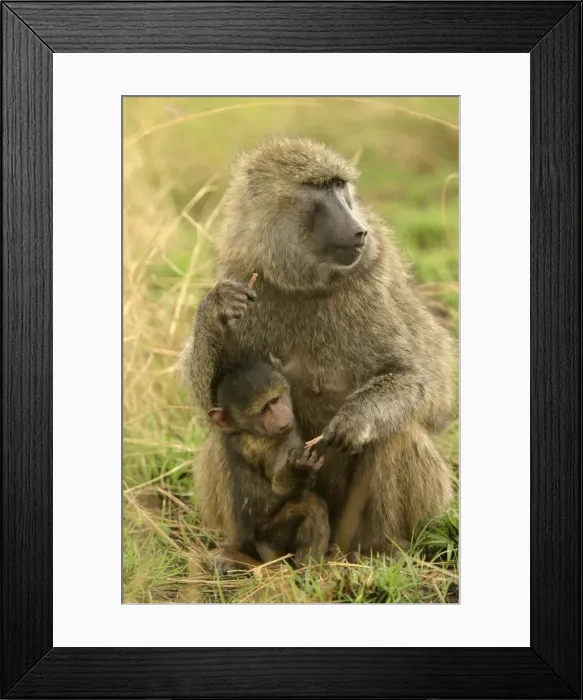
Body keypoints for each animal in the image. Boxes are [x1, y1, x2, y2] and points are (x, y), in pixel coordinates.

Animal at [207, 358, 330, 574]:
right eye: (263, 411)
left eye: (275, 400)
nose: (282, 418)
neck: (248, 431)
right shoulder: (268, 446)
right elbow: (280, 486)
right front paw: (299, 471)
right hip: (269, 538)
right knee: (311, 505)